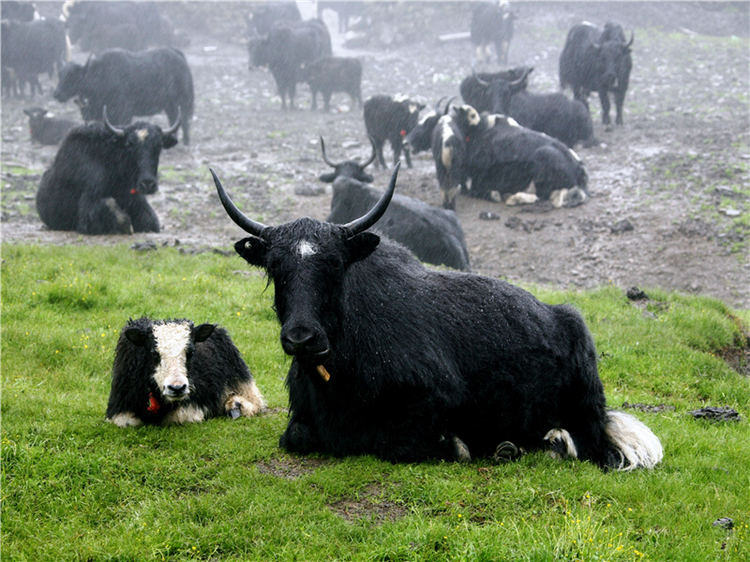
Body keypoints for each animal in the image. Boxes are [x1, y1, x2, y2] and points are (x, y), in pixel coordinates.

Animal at [107, 316, 266, 424]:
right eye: (154, 353)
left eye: (191, 352)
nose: (177, 388)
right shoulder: (120, 409)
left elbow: (179, 417)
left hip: (240, 378)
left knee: (256, 403)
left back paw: (235, 406)